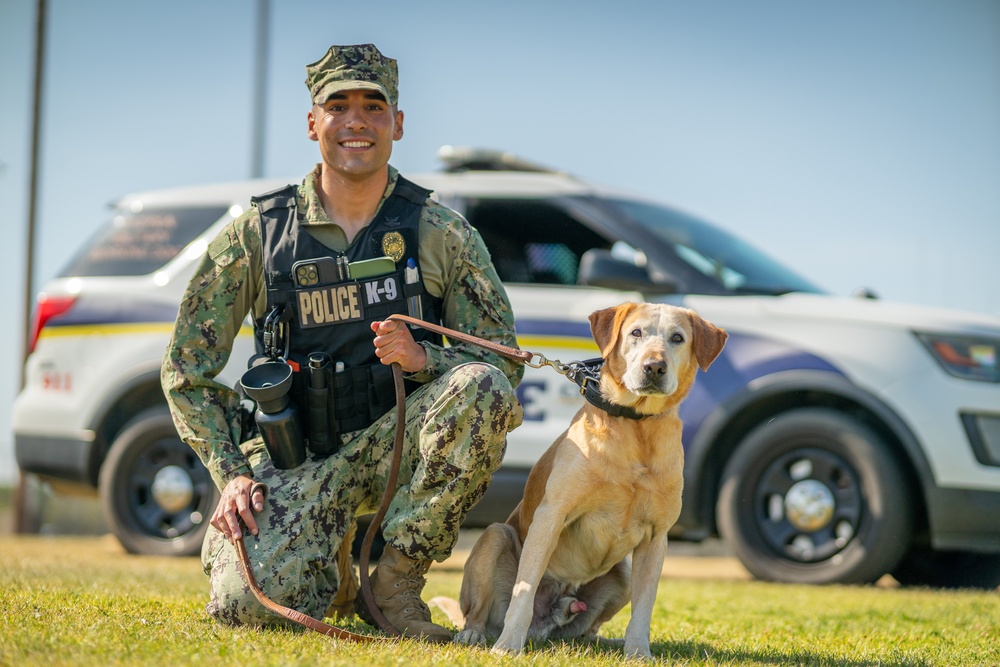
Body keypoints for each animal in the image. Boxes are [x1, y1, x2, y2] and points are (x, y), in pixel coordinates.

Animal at [450, 306, 724, 660]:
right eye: (636, 333)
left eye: (677, 338)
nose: (654, 366)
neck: (635, 426)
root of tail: (546, 625)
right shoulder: (550, 516)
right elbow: (523, 593)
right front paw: (508, 646)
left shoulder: (656, 537)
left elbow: (643, 609)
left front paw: (638, 653)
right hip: (495, 537)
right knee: (480, 611)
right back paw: (475, 634)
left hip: (622, 572)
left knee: (585, 629)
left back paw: (604, 641)